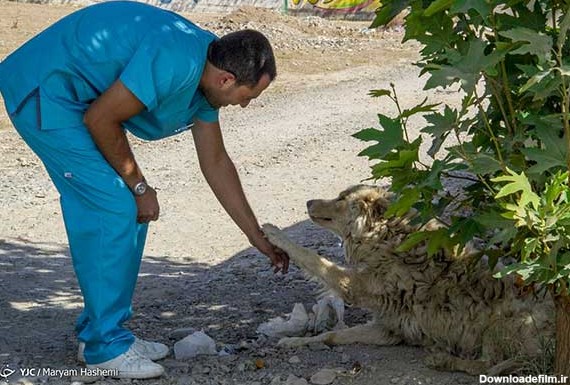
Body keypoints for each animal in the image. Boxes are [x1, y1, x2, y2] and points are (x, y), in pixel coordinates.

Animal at [260, 184, 552, 374]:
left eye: (341, 198)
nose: (308, 202)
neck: (387, 238)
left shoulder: (353, 285)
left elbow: (314, 259)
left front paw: (275, 234)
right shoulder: (388, 329)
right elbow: (331, 336)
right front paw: (294, 342)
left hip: (501, 323)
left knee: (489, 366)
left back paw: (443, 360)